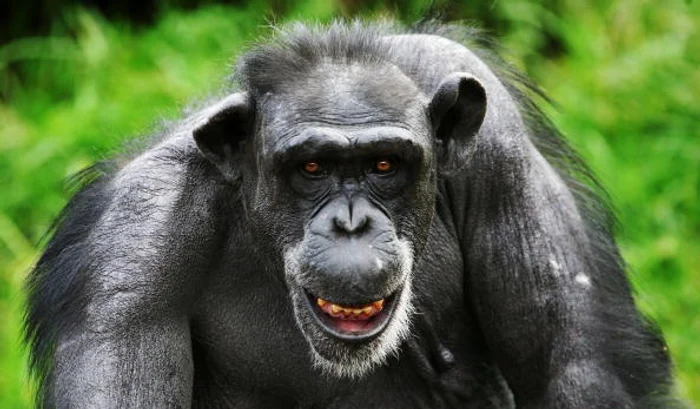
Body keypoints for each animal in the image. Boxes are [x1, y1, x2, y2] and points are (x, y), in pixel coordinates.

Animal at [24, 21, 680, 408]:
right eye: (312, 169)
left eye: (384, 165)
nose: (350, 222)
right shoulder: (135, 249)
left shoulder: (500, 146)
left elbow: (569, 367)